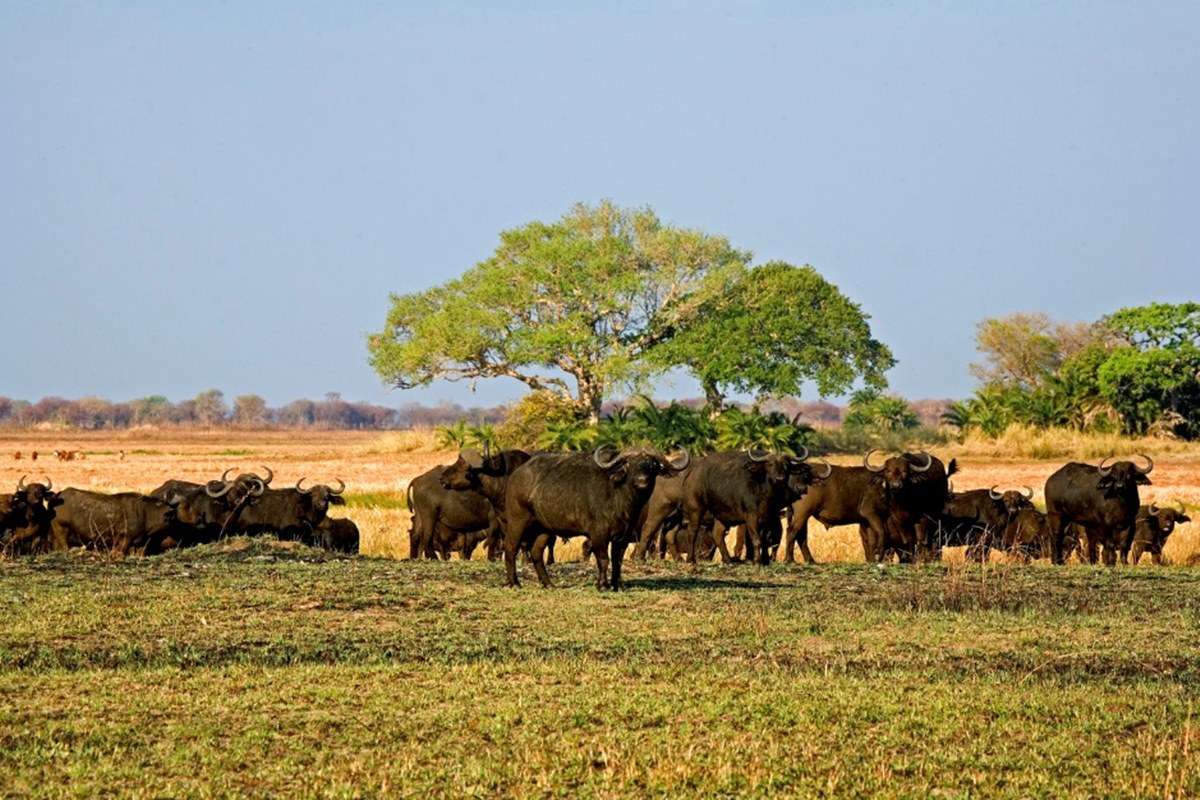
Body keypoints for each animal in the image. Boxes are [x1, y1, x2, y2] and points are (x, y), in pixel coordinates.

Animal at [501, 448, 691, 592]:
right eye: (630, 464)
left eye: (652, 465)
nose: (642, 481)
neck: (620, 497)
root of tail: (516, 474)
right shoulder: (599, 535)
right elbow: (603, 559)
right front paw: (603, 585)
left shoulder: (622, 537)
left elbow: (617, 561)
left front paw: (617, 584)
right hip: (518, 521)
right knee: (510, 548)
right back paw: (514, 583)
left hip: (545, 529)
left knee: (536, 552)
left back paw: (548, 584)